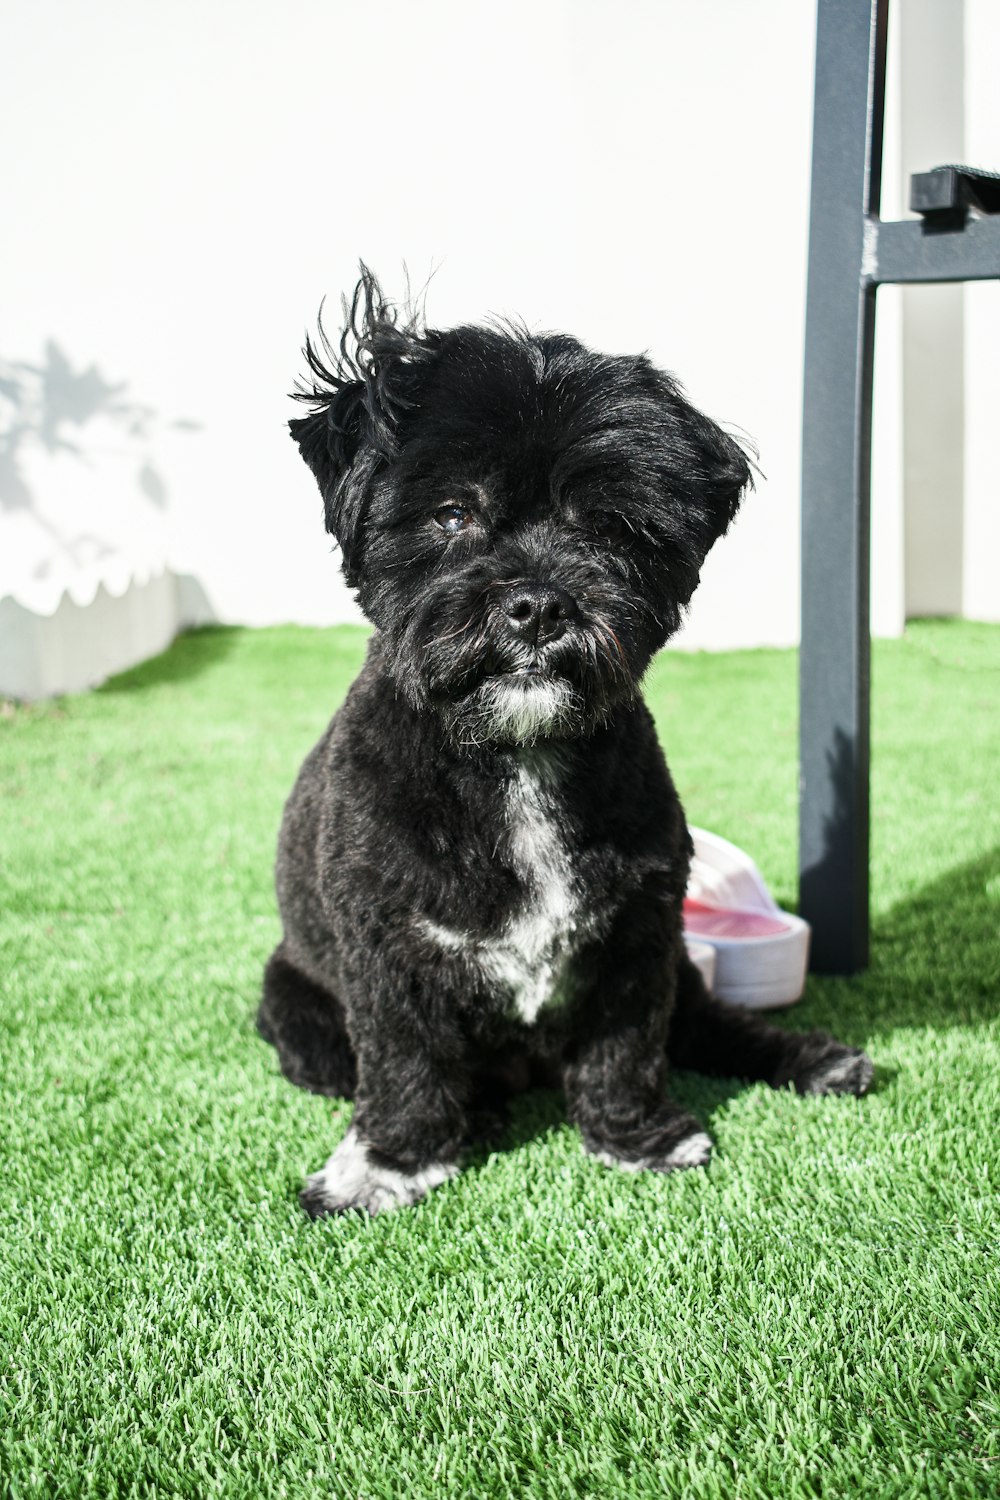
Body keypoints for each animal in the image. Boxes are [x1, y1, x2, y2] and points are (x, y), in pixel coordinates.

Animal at [260, 270, 875, 1218]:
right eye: (452, 513)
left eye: (612, 524)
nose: (538, 603)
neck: (517, 757)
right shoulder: (386, 952)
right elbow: (404, 1062)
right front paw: (391, 1164)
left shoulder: (639, 937)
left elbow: (627, 1051)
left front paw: (638, 1138)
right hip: (294, 1008)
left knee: (711, 1025)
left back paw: (815, 1059)